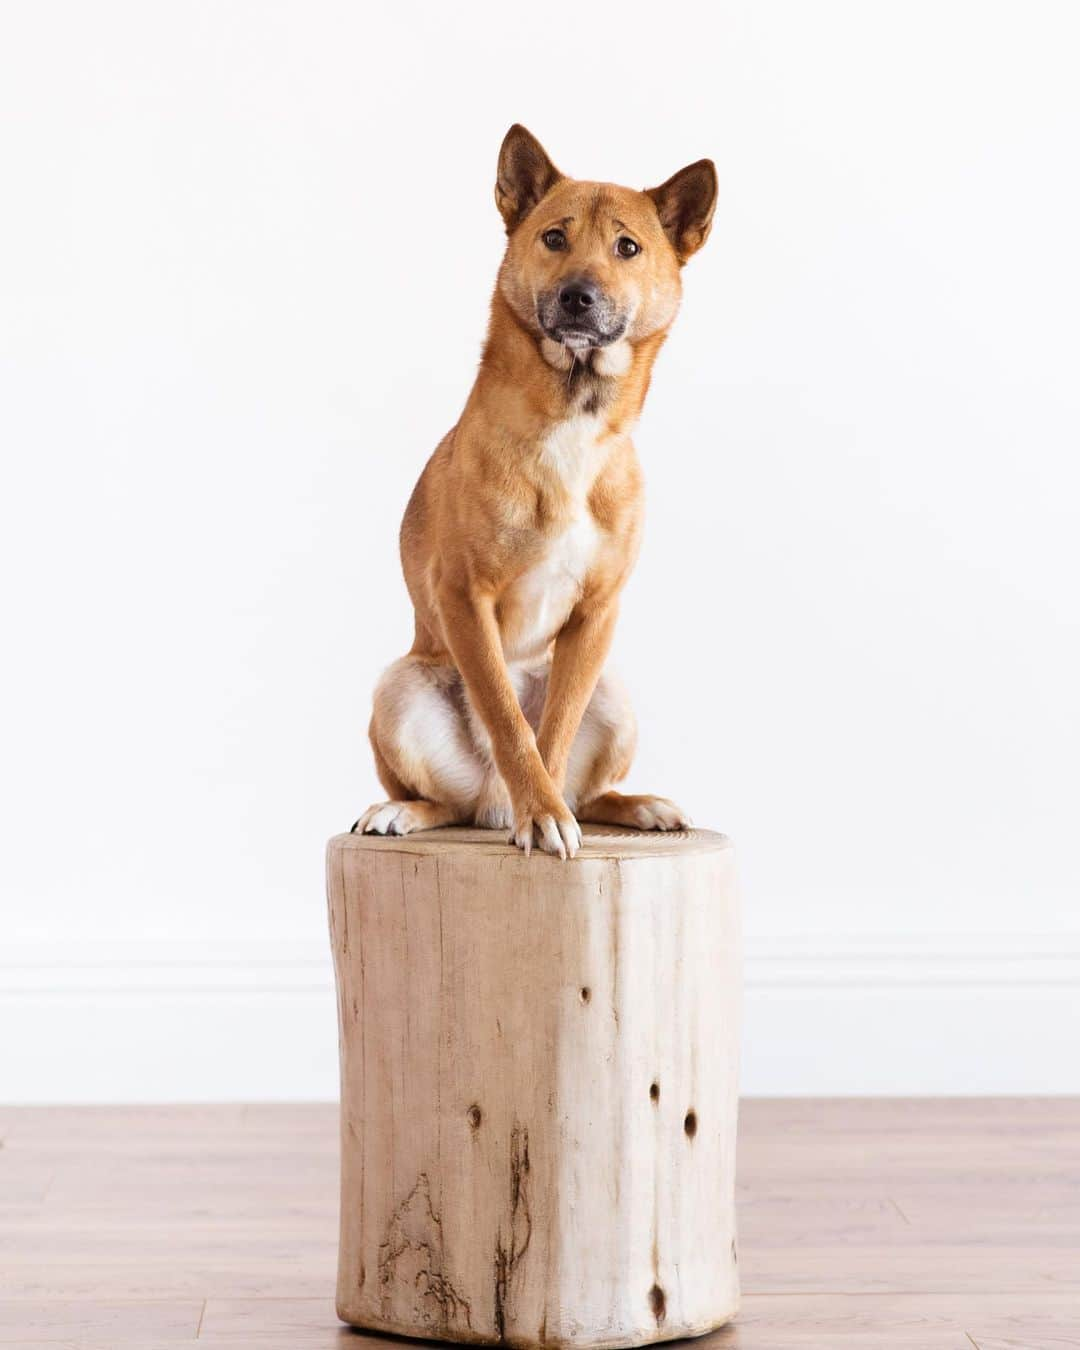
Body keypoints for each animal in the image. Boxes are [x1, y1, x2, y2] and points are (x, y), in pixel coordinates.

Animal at [353, 131, 723, 858]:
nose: (578, 295)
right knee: (444, 802)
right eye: (554, 237)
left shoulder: (598, 614)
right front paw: (540, 811)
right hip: (400, 686)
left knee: (587, 788)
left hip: (612, 690)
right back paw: (404, 811)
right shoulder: (464, 599)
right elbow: (507, 717)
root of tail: (487, 805)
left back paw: (635, 805)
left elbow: (551, 731)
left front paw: (546, 812)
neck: (574, 417)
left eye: (627, 247)